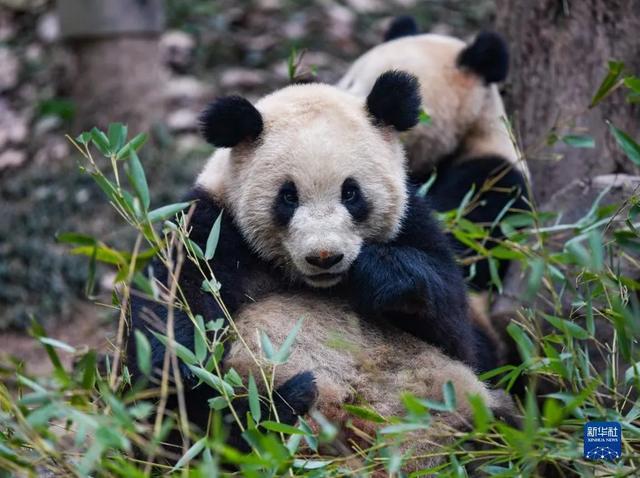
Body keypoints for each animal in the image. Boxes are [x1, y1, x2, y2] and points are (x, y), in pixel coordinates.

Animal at [127, 73, 512, 468]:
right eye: (288, 196)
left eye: (351, 193)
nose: (325, 257)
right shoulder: (209, 233)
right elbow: (170, 354)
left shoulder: (413, 222)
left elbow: (459, 332)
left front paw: (377, 273)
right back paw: (287, 402)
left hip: (454, 406)